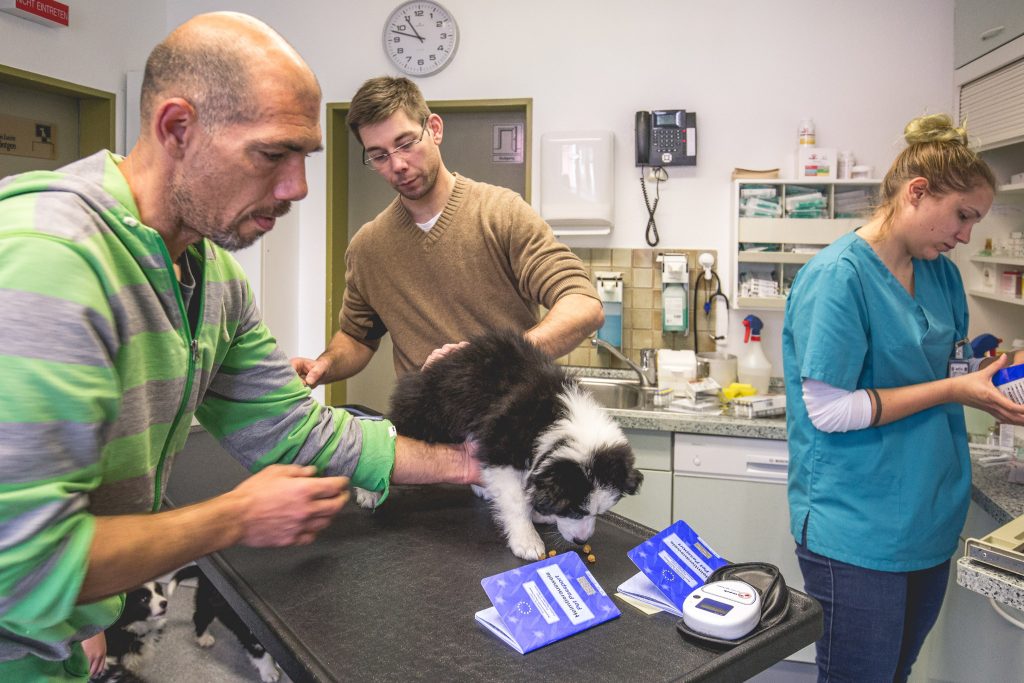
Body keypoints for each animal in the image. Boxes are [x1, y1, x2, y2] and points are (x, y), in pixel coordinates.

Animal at [380, 331, 643, 561]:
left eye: (601, 512)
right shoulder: (501, 450)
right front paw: (527, 540)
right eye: (575, 511)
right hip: (429, 412)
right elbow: (516, 500)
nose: (582, 541)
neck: (556, 417)